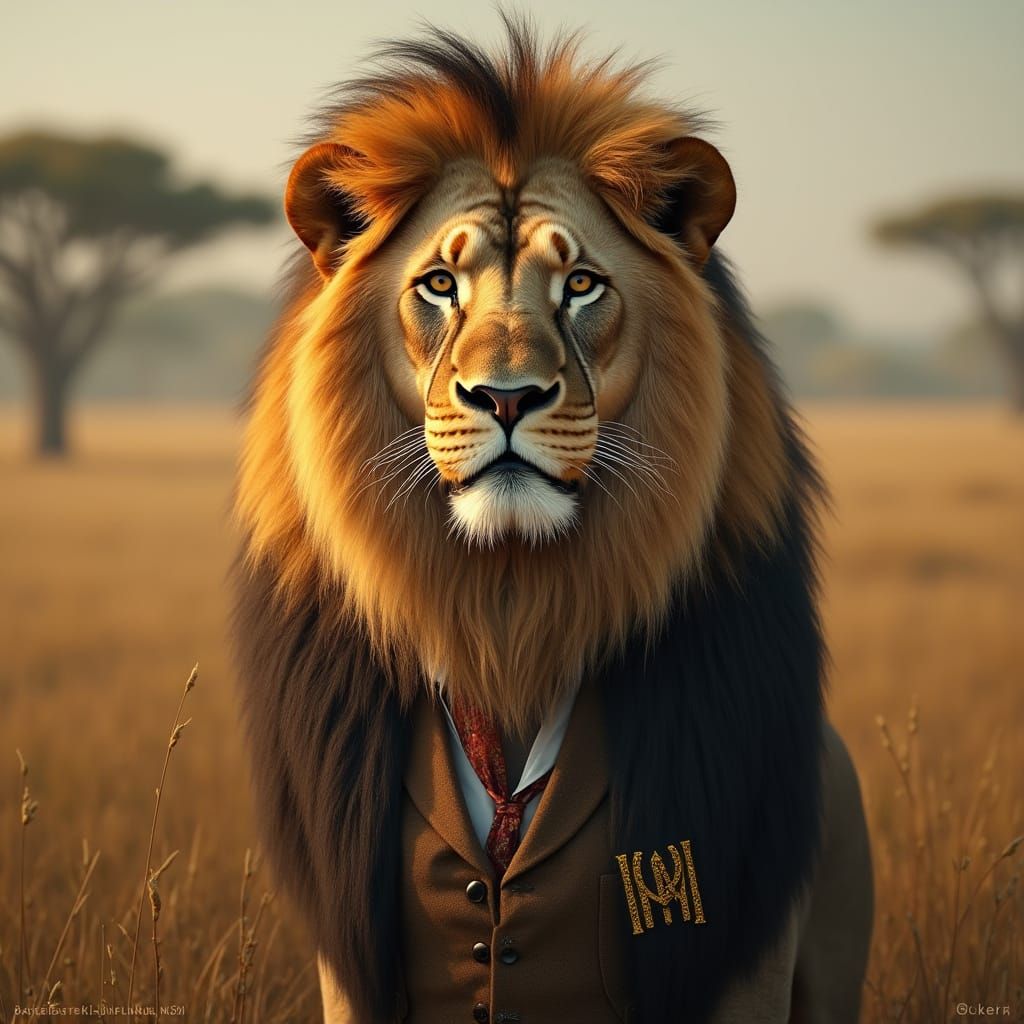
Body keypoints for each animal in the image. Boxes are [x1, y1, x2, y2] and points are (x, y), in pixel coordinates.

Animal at [233, 19, 873, 1024]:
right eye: (439, 284)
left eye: (579, 284)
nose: (505, 397)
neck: (510, 603)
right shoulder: (350, 954)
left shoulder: (744, 946)